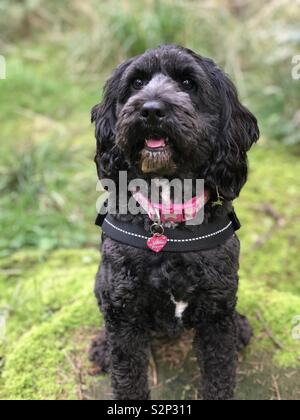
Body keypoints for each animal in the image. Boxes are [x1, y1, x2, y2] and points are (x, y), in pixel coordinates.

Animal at [90, 45, 258, 400]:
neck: (167, 223)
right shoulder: (123, 311)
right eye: (137, 82)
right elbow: (128, 378)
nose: (151, 110)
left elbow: (220, 373)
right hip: (102, 283)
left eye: (187, 83)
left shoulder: (216, 311)